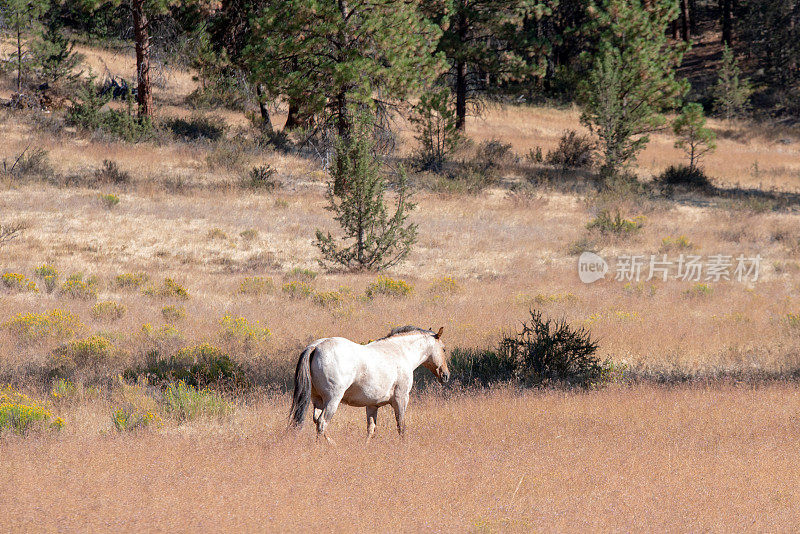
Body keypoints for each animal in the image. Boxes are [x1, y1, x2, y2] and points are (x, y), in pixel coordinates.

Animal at [290, 326, 450, 444]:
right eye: (444, 349)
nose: (446, 375)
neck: (400, 351)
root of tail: (316, 346)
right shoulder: (401, 398)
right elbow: (401, 425)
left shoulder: (372, 405)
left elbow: (371, 429)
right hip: (332, 400)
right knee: (322, 423)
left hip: (317, 400)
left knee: (316, 421)